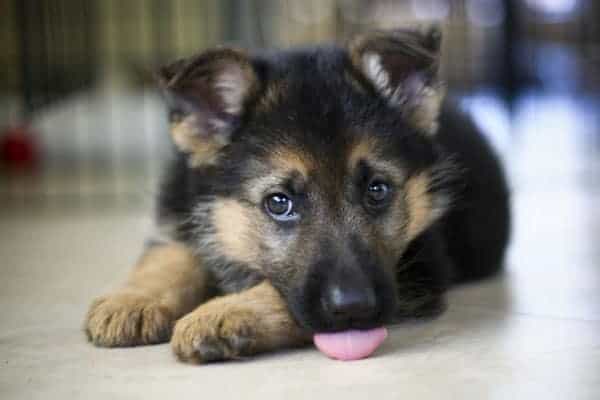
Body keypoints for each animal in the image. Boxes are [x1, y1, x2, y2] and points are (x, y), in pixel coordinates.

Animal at [84, 27, 508, 362]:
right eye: (278, 202)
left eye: (377, 190)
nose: (355, 308)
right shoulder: (181, 204)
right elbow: (168, 256)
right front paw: (133, 300)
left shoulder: (419, 267)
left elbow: (277, 294)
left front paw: (223, 314)